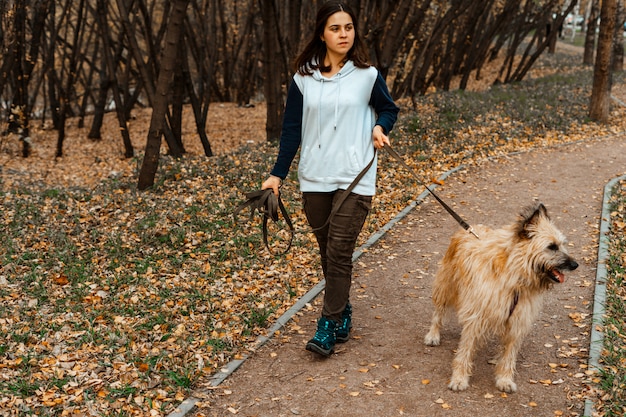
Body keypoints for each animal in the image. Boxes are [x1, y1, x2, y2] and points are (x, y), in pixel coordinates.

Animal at [424, 203, 576, 392]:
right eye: (552, 246)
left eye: (562, 245)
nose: (575, 265)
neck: (514, 276)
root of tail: (467, 229)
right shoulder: (476, 316)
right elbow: (465, 351)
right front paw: (459, 378)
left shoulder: (517, 321)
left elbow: (509, 354)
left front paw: (504, 379)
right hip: (446, 285)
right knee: (438, 312)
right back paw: (433, 334)